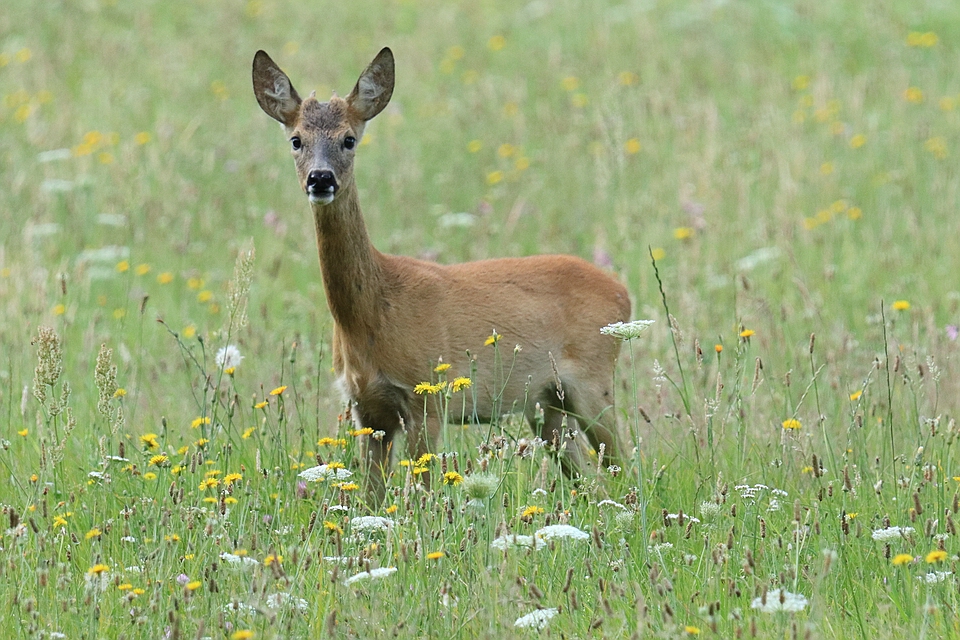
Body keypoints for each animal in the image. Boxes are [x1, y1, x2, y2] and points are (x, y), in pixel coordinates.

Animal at [251, 48, 632, 500]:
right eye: (296, 140)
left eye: (349, 139)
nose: (321, 178)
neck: (373, 314)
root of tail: (623, 294)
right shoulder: (367, 410)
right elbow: (371, 497)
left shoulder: (427, 396)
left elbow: (425, 489)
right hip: (547, 404)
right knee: (589, 475)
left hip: (593, 382)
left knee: (628, 463)